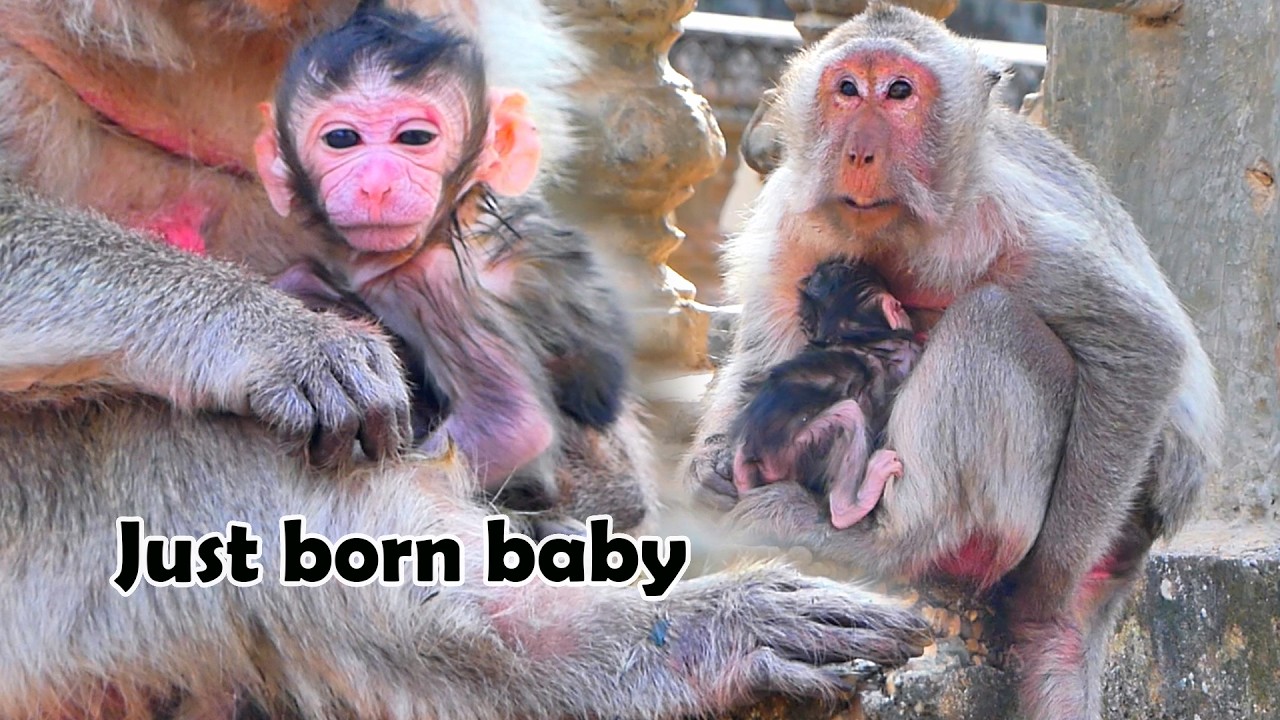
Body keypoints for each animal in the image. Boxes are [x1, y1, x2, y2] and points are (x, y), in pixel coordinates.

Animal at [729, 259, 921, 530]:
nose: (903, 310)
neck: (851, 332)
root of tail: (750, 454)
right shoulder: (906, 349)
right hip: (794, 451)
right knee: (849, 415)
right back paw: (850, 507)